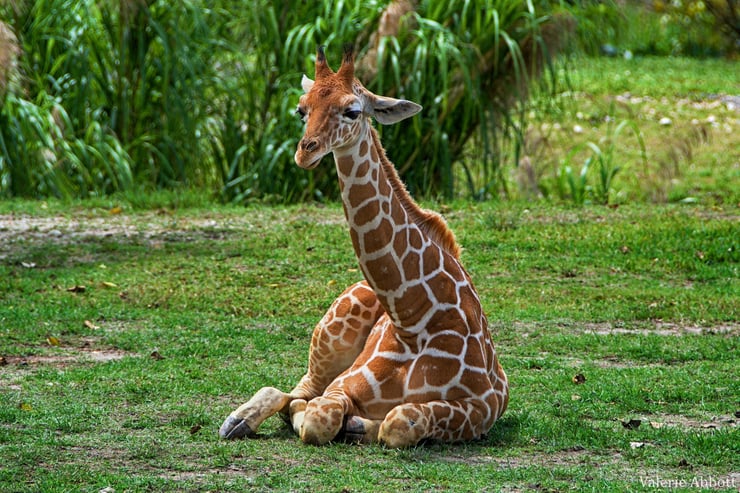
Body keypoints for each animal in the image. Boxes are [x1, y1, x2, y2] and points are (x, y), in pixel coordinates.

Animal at [219, 45, 508, 448]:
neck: (414, 319)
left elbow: (398, 422)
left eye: (352, 110)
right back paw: (237, 420)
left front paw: (361, 425)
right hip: (328, 340)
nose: (305, 152)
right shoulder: (341, 386)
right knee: (293, 390)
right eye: (301, 109)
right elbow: (315, 418)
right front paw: (341, 422)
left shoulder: (483, 405)